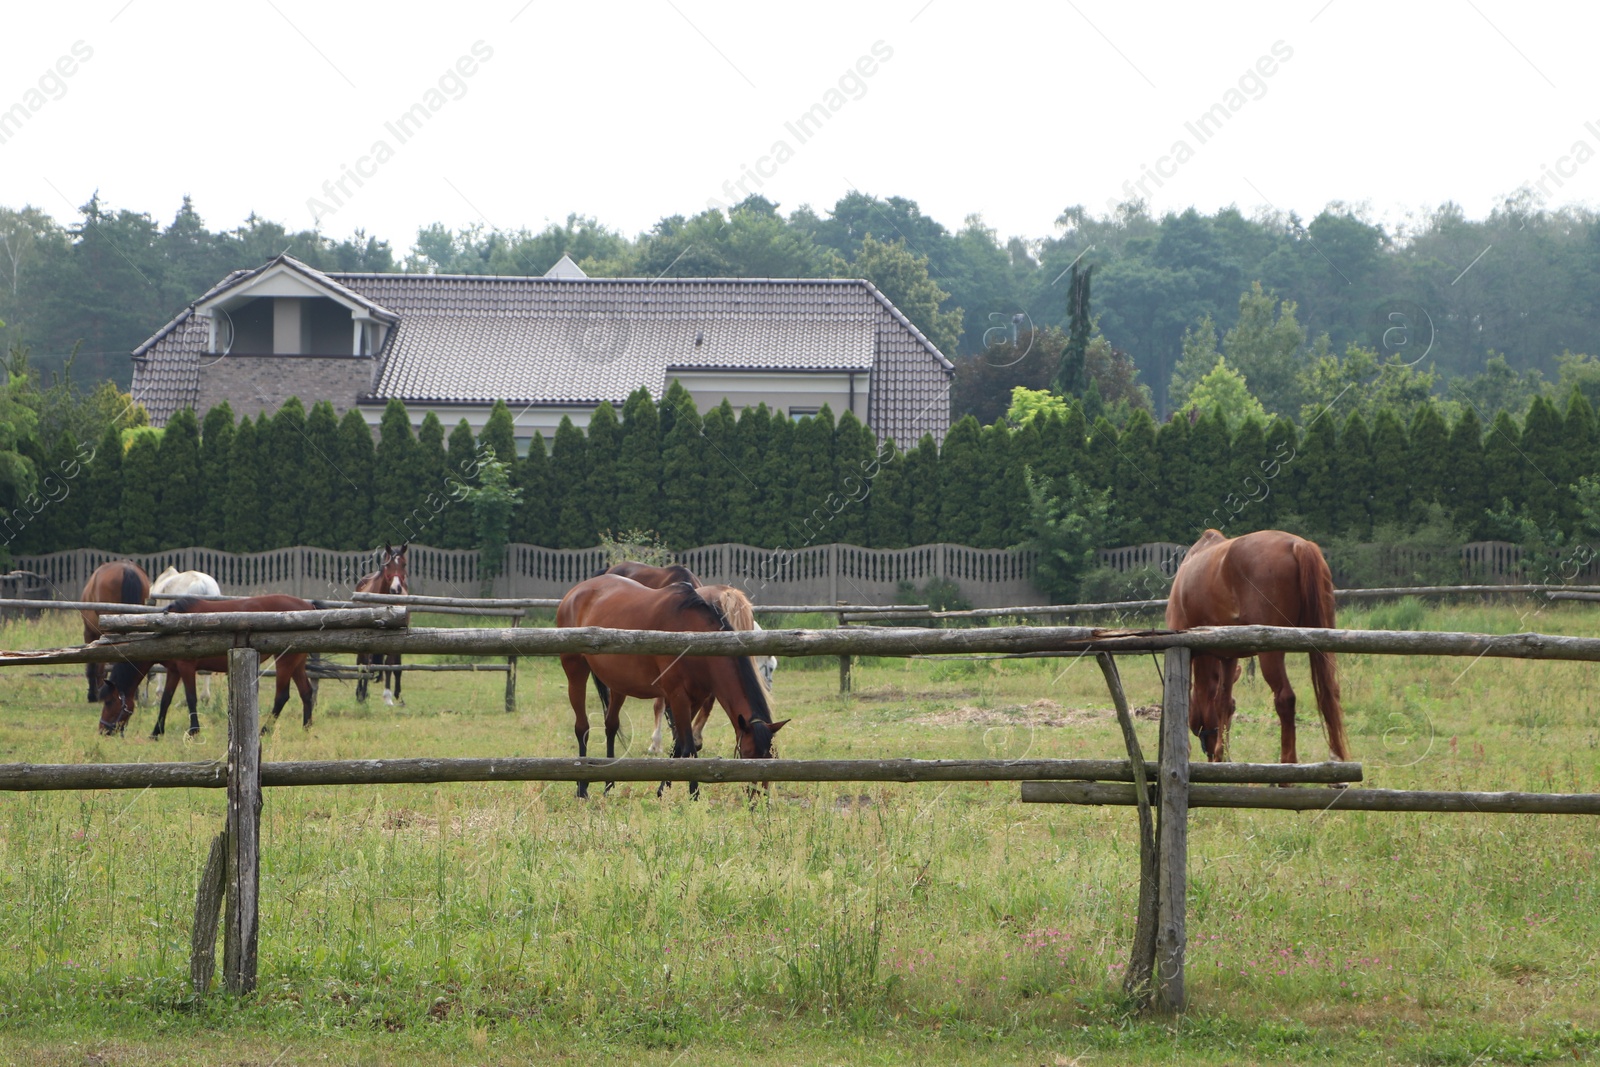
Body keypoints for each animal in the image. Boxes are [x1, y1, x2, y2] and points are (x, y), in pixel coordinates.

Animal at [97, 591, 318, 742]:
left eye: (109, 702)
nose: (103, 730)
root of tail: (308, 607)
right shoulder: (174, 670)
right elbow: (166, 700)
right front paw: (156, 732)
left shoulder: (186, 667)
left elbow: (191, 698)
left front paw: (193, 731)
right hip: (297, 663)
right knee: (306, 693)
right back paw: (307, 729)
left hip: (285, 661)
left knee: (281, 696)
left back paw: (264, 730)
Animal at [355, 543, 409, 710]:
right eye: (387, 565)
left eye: (404, 564)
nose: (396, 589)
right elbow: (366, 664)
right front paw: (362, 694)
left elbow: (389, 665)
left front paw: (388, 697)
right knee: (360, 662)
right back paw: (359, 691)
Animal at [1164, 527, 1350, 767]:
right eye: (1236, 708)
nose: (1212, 750)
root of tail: (1298, 545)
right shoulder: (1228, 656)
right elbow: (1223, 701)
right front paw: (1221, 754)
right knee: (1330, 694)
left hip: (1271, 653)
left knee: (1285, 698)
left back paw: (1287, 764)